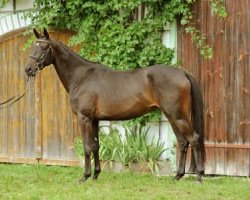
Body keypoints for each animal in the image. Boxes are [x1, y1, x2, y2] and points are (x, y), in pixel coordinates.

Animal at [24, 28, 205, 183]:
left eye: (44, 47)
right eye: (33, 46)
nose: (28, 69)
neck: (81, 77)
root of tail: (182, 72)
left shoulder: (84, 118)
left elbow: (87, 147)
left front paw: (85, 176)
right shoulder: (94, 120)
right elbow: (96, 145)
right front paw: (96, 175)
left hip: (177, 116)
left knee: (194, 139)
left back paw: (199, 176)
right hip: (172, 116)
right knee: (183, 141)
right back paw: (178, 176)